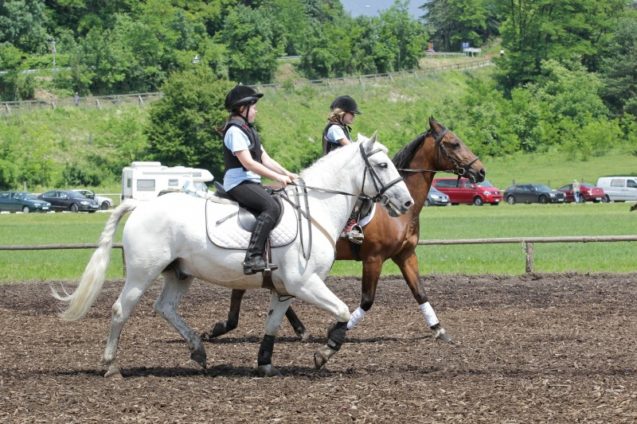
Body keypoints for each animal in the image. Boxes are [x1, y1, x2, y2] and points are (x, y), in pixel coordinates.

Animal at [51, 136, 412, 378]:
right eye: (382, 165)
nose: (407, 203)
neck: (316, 209)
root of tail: (141, 204)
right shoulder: (304, 283)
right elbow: (341, 311)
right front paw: (323, 353)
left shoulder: (285, 289)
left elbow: (273, 323)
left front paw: (265, 364)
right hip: (143, 273)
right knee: (120, 310)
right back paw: (112, 366)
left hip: (179, 273)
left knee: (164, 307)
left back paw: (198, 350)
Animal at [202, 117, 482, 342]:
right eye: (454, 143)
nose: (480, 171)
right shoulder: (373, 258)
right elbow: (367, 300)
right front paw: (338, 328)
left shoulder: (405, 255)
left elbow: (420, 292)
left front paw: (439, 329)